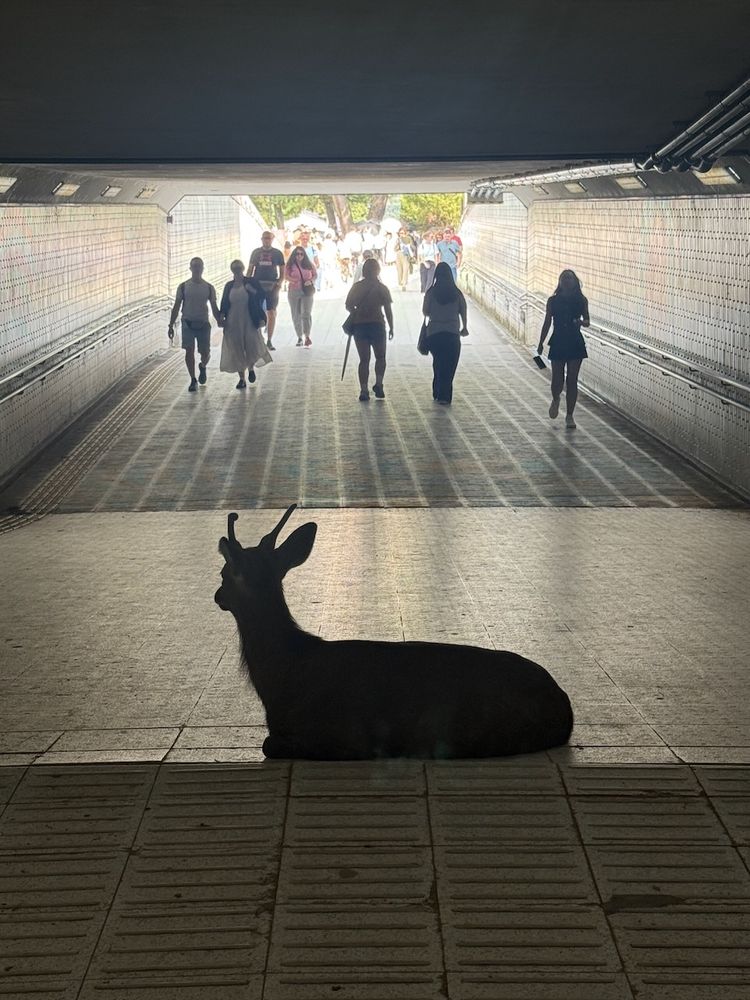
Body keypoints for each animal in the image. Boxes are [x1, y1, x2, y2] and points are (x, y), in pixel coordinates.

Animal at [215, 505, 573, 759]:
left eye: (224, 573)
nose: (217, 595)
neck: (282, 674)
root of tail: (565, 705)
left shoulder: (346, 735)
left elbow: (269, 744)